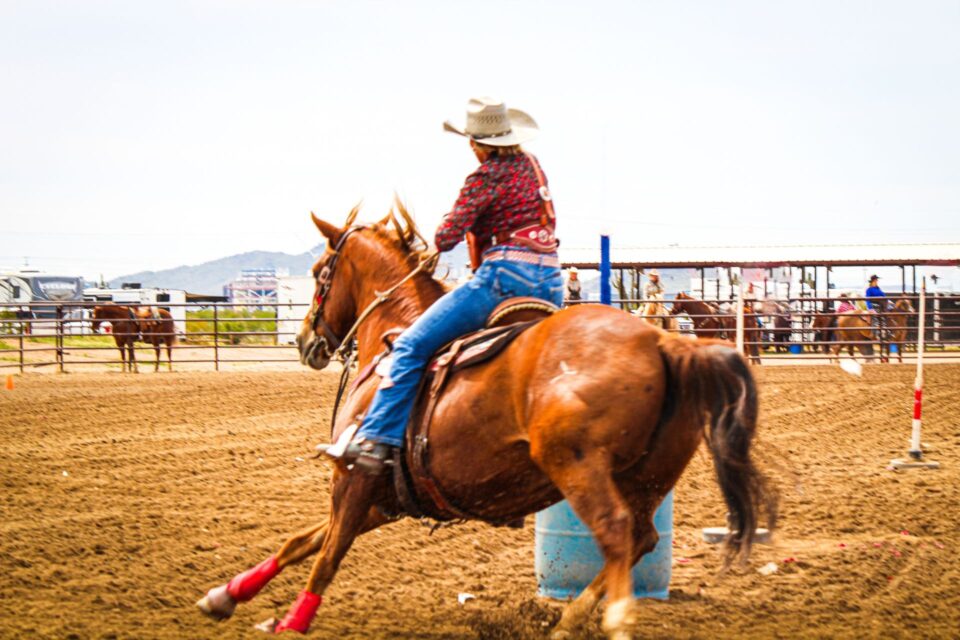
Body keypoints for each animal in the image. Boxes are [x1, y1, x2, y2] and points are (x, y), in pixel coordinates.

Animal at [195, 208, 772, 636]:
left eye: (320, 274)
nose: (304, 342)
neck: (391, 341)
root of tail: (662, 341)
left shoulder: (354, 477)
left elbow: (328, 555)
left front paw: (292, 623)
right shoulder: (385, 499)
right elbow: (301, 541)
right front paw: (225, 596)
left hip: (579, 469)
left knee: (615, 533)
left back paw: (608, 620)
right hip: (648, 477)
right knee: (640, 539)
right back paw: (568, 621)